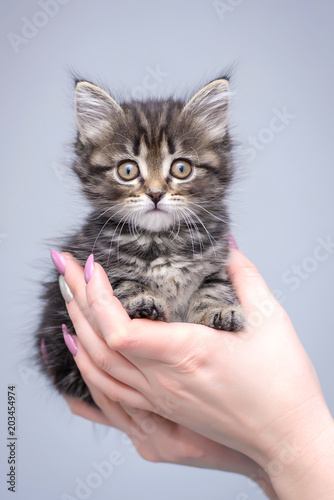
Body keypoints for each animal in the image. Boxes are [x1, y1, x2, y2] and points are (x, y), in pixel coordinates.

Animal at [36, 79, 245, 406]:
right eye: (128, 170)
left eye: (181, 168)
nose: (156, 193)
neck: (161, 241)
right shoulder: (92, 256)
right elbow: (123, 281)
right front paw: (143, 302)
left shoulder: (215, 263)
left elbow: (214, 289)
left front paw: (220, 312)